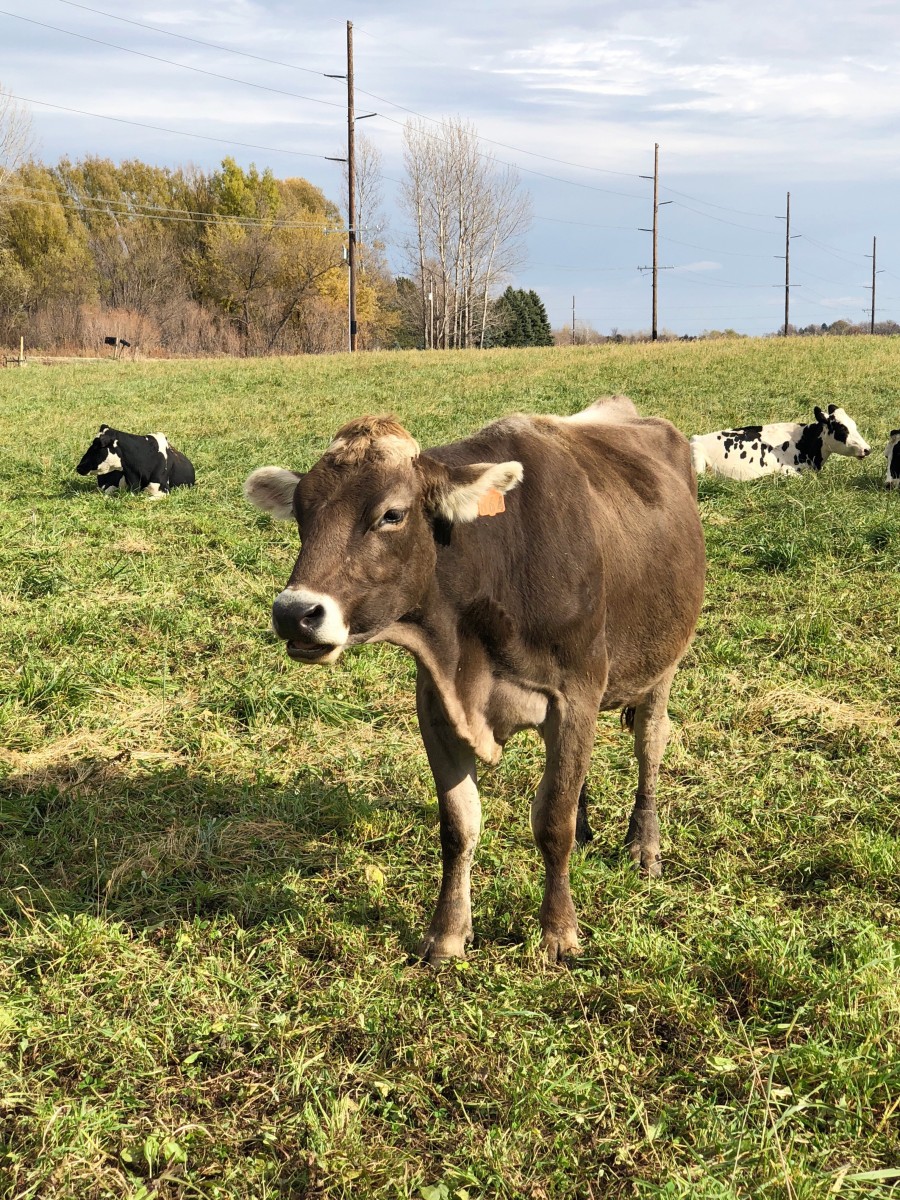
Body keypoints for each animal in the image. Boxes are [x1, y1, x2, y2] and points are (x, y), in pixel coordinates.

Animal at [244, 398, 705, 960]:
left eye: (391, 514)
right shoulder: (437, 705)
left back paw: (644, 844)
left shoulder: (575, 694)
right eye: (302, 514)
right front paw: (447, 932)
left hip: (663, 662)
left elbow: (552, 821)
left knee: (649, 744)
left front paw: (558, 930)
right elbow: (460, 825)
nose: (294, 614)